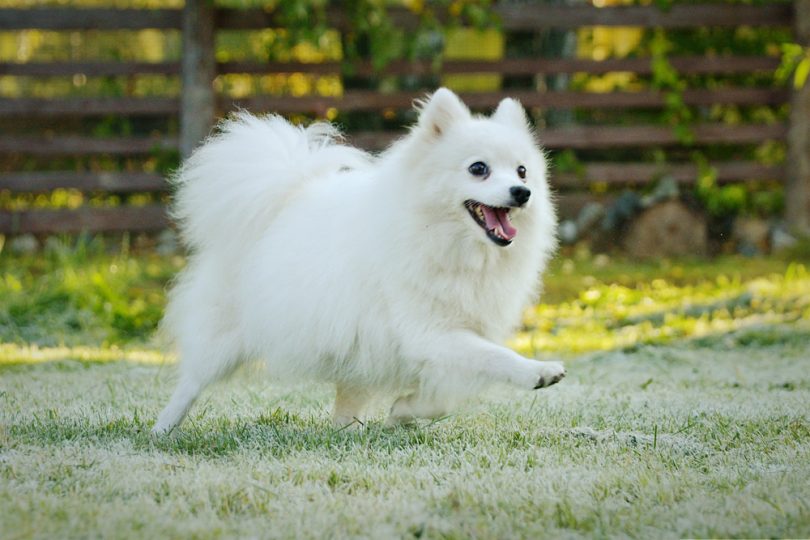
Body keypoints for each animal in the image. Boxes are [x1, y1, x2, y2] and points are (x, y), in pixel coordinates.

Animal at [155, 88, 564, 434]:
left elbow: (446, 397)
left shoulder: (446, 339)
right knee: (191, 381)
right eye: (478, 168)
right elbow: (496, 358)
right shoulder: (429, 333)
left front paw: (404, 411)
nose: (522, 192)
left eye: (523, 170)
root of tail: (283, 198)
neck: (449, 243)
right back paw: (163, 429)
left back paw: (347, 430)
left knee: (347, 397)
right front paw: (538, 370)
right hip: (223, 338)